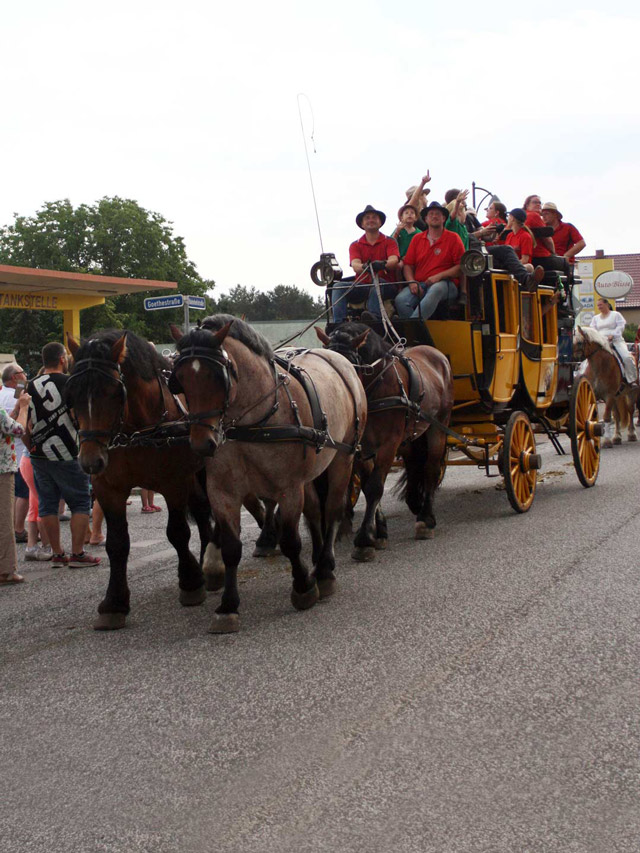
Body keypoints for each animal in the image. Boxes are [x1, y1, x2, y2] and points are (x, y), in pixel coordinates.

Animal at [67, 330, 270, 628]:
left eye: (114, 392)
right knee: (204, 513)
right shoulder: (108, 488)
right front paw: (114, 602)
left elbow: (177, 532)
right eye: (73, 394)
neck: (138, 430)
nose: (90, 461)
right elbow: (117, 543)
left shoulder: (174, 482)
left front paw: (190, 581)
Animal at [170, 314, 368, 632]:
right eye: (180, 380)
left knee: (333, 509)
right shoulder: (223, 492)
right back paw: (316, 557)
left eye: (218, 377)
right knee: (315, 511)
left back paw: (324, 570)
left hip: (343, 456)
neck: (253, 423)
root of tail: (340, 360)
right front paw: (228, 605)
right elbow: (231, 547)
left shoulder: (288, 488)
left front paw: (303, 587)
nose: (202, 444)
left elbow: (290, 540)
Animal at [318, 322, 452, 560]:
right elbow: (367, 485)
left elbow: (375, 486)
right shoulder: (361, 447)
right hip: (410, 436)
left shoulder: (389, 444)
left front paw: (364, 539)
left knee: (431, 468)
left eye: (349, 366)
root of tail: (437, 355)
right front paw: (378, 532)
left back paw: (426, 519)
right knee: (414, 463)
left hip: (438, 425)